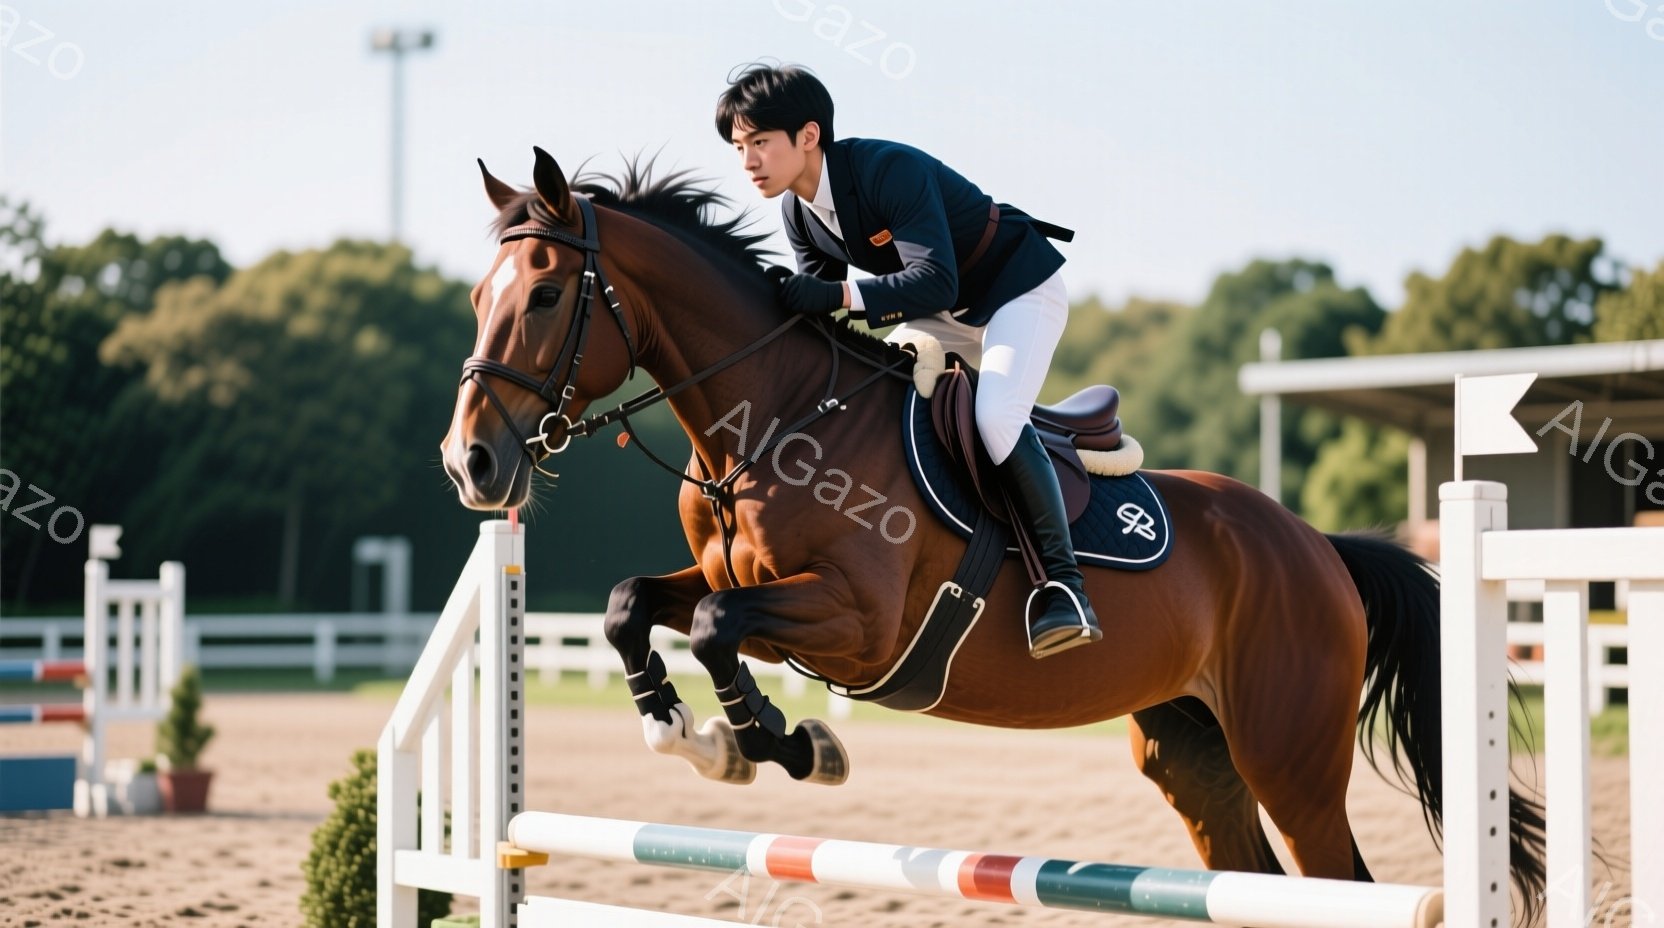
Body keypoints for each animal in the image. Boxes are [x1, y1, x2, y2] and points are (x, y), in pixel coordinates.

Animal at [440, 147, 1546, 915]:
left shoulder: (858, 623)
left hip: (1291, 756)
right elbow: (638, 603)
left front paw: (783, 745)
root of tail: (1318, 546)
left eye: (546, 294)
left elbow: (715, 625)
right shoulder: (742, 585)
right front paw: (687, 731)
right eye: (477, 296)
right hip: (1194, 754)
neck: (776, 418)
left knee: (1338, 879)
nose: (471, 465)